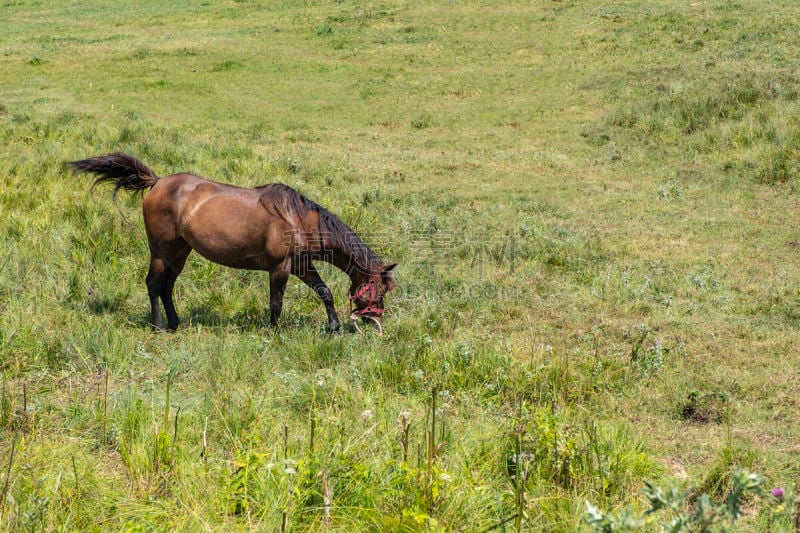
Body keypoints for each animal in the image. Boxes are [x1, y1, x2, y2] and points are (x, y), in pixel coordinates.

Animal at [69, 152, 396, 330]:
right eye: (378, 290)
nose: (374, 322)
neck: (298, 220)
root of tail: (158, 182)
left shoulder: (302, 266)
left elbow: (324, 292)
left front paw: (333, 326)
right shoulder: (279, 269)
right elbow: (276, 303)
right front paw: (273, 332)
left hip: (180, 251)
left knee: (168, 285)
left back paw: (175, 323)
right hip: (161, 250)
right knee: (153, 284)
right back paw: (159, 325)